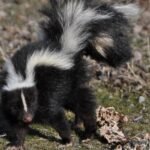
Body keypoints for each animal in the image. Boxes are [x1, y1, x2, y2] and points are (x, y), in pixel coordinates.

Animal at [0, 0, 138, 149]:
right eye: (16, 105)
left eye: (31, 102)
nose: (28, 118)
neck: (22, 74)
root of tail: (66, 47)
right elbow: (16, 123)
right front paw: (16, 143)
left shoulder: (46, 92)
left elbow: (55, 115)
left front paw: (67, 139)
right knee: (77, 103)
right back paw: (78, 124)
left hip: (71, 80)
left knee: (83, 104)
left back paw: (88, 132)